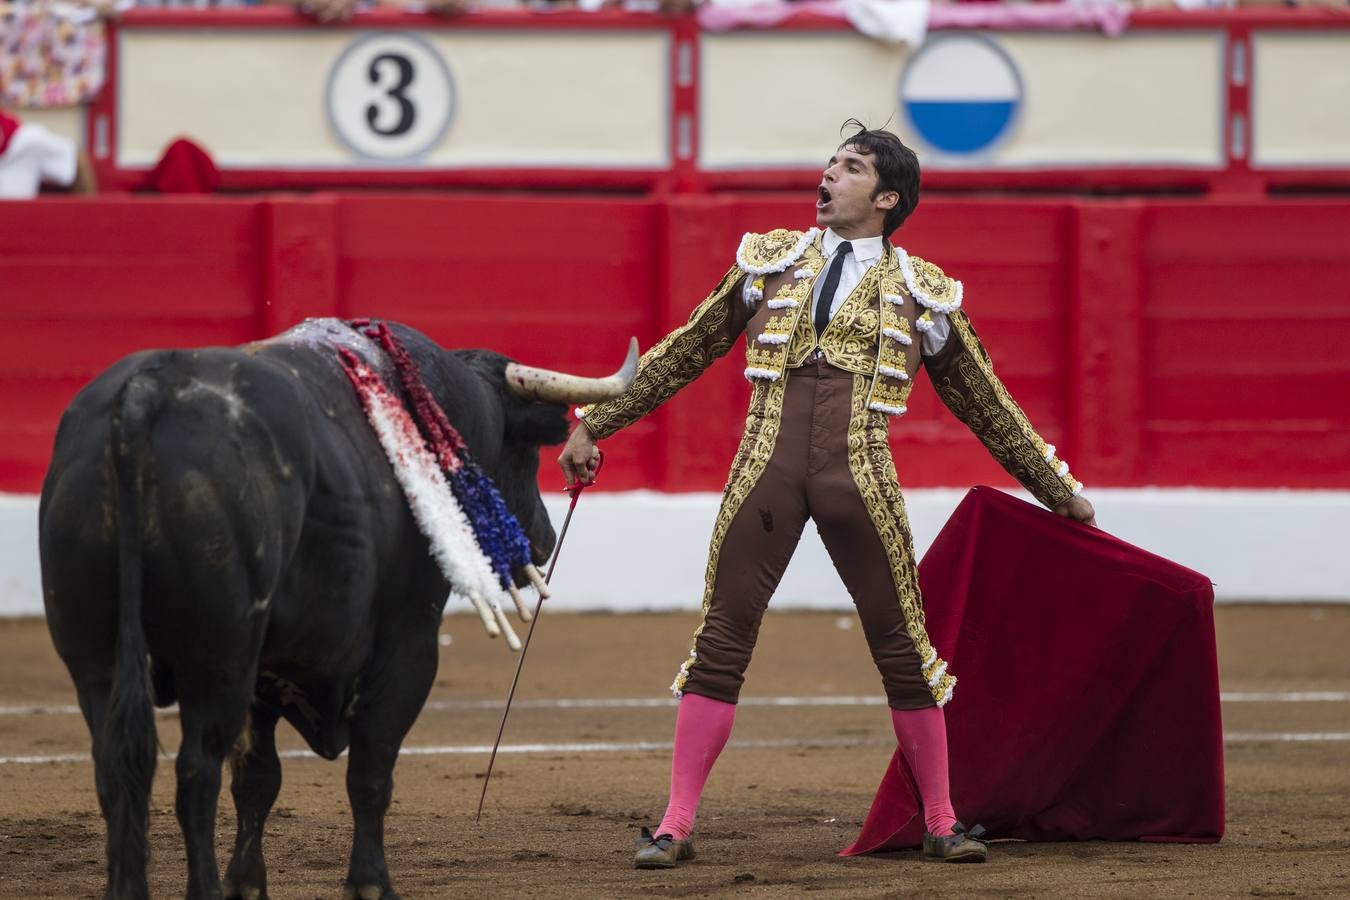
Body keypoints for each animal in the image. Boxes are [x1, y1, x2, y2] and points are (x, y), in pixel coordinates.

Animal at [39, 319, 631, 895]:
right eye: (523, 452)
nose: (545, 539)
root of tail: (145, 395)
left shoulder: (269, 668)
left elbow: (258, 779)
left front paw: (247, 884)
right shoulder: (409, 638)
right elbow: (371, 767)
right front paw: (370, 884)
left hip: (94, 657)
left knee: (118, 768)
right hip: (219, 657)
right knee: (197, 771)